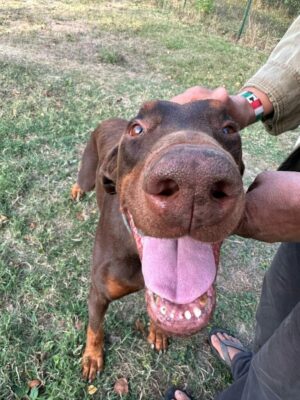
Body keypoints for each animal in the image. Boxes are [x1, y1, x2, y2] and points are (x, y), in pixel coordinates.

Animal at [71, 100, 245, 382]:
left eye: (229, 128)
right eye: (137, 129)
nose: (194, 179)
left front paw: (158, 333)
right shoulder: (98, 294)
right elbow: (95, 329)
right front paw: (92, 358)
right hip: (88, 169)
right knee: (81, 180)